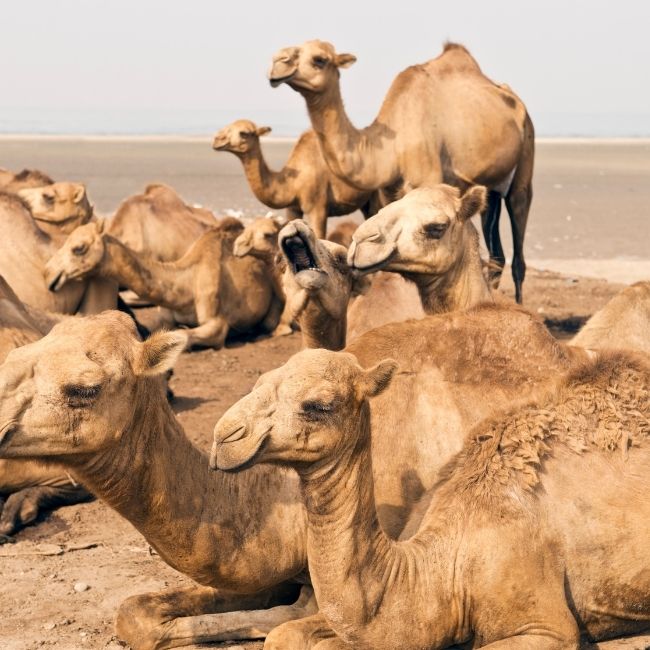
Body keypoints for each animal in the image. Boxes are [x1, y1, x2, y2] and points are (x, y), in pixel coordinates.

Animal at [44, 219, 281, 348]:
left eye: (79, 248)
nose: (49, 274)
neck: (185, 287)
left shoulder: (217, 321)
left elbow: (184, 335)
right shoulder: (165, 315)